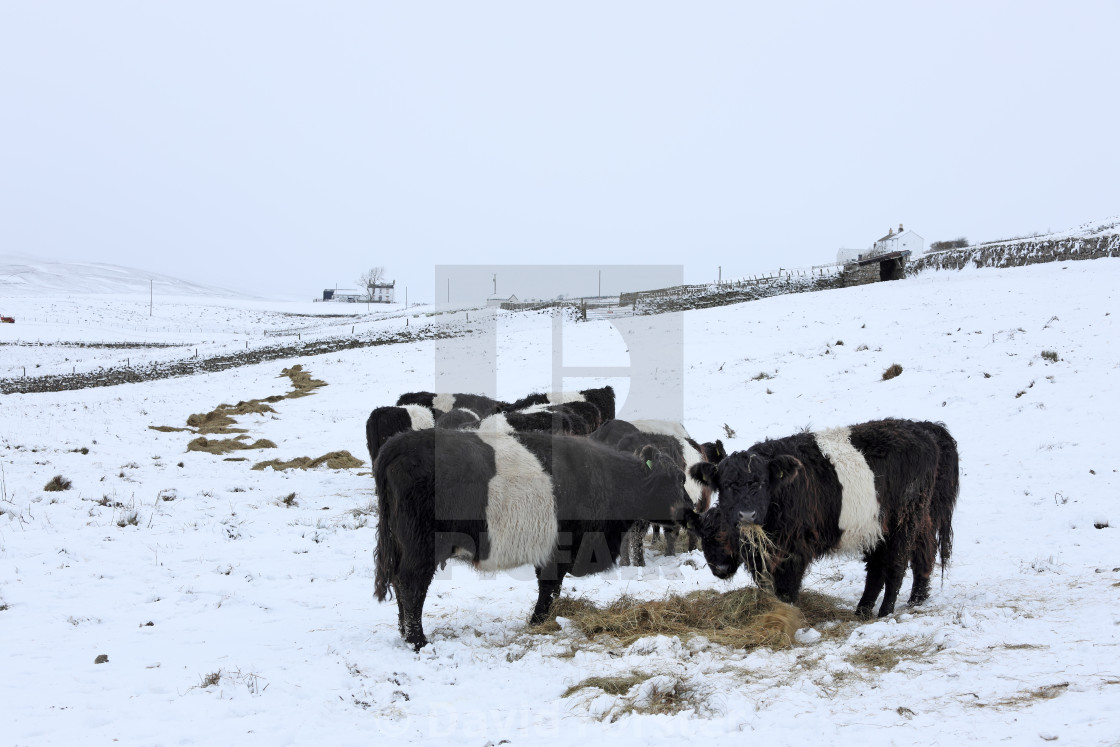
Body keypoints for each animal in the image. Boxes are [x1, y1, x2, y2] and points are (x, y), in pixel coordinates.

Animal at [376, 430, 689, 649]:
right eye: (677, 479)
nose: (690, 511)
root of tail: (399, 443)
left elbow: (550, 588)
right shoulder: (560, 548)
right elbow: (549, 588)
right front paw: (538, 621)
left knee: (400, 586)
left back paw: (405, 634)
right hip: (421, 548)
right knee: (411, 586)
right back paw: (417, 641)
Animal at [689, 418, 954, 618]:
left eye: (763, 482)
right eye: (726, 485)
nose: (747, 514)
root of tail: (923, 429)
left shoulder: (794, 551)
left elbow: (785, 590)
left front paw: (786, 617)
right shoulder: (762, 557)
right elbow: (768, 588)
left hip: (904, 522)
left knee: (896, 565)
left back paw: (885, 612)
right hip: (883, 526)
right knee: (900, 561)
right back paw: (876, 609)